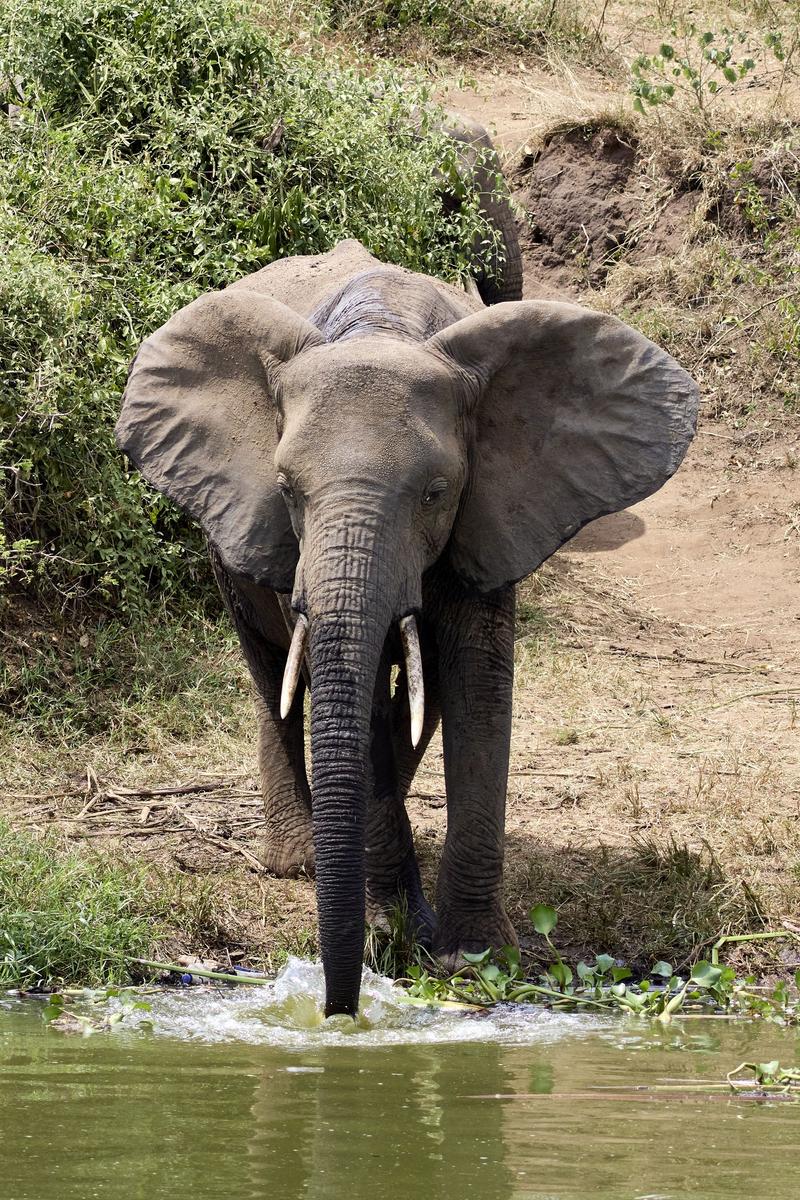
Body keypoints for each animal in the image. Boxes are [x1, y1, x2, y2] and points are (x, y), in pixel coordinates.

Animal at [115, 236, 695, 1022]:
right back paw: (301, 859)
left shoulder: (493, 507)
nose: (340, 1010)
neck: (384, 328)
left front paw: (471, 956)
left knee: (417, 694)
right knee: (272, 671)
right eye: (287, 488)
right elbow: (344, 694)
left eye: (436, 493)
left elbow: (477, 681)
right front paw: (398, 936)